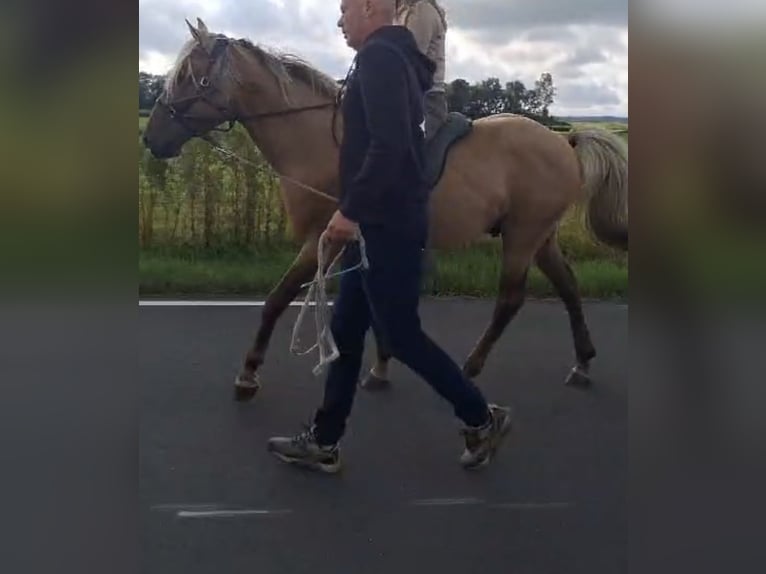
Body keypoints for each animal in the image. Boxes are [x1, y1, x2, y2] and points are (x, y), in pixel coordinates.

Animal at [142, 19, 632, 404]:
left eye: (191, 77)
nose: (151, 138)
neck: (318, 139)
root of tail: (565, 142)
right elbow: (376, 309)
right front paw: (379, 368)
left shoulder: (322, 240)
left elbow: (278, 299)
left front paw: (248, 374)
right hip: (540, 235)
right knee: (568, 287)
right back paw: (582, 364)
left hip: (523, 236)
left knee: (511, 300)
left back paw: (472, 367)